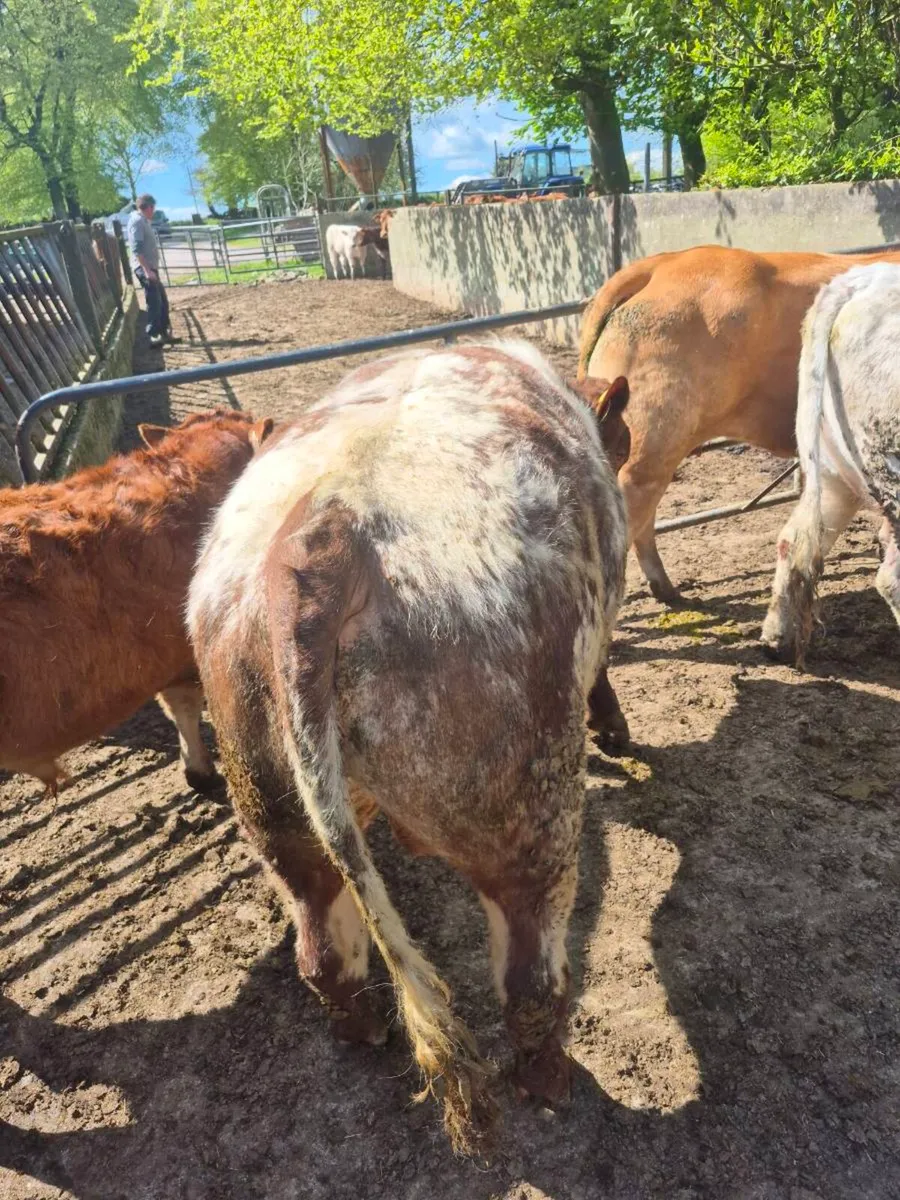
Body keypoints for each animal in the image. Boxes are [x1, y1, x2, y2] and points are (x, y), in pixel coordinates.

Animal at [188, 343, 630, 1152]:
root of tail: (326, 530)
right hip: (531, 815)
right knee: (529, 980)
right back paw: (549, 1081)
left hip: (271, 802)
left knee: (322, 949)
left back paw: (366, 1034)